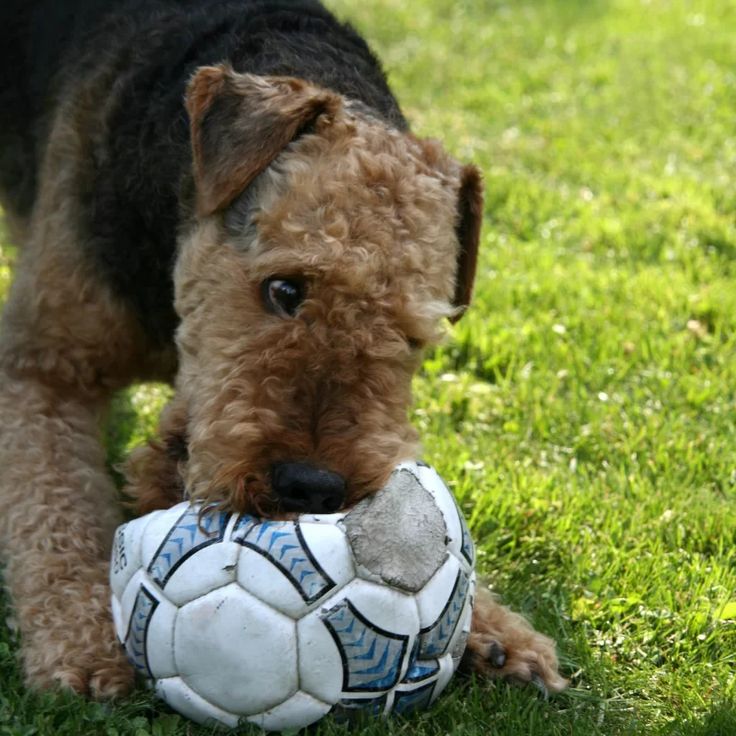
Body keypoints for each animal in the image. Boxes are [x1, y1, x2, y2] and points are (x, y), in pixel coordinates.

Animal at [0, 0, 568, 696]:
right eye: (285, 287)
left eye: (412, 337)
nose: (312, 488)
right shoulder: (45, 367)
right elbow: (53, 508)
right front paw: (81, 644)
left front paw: (497, 633)